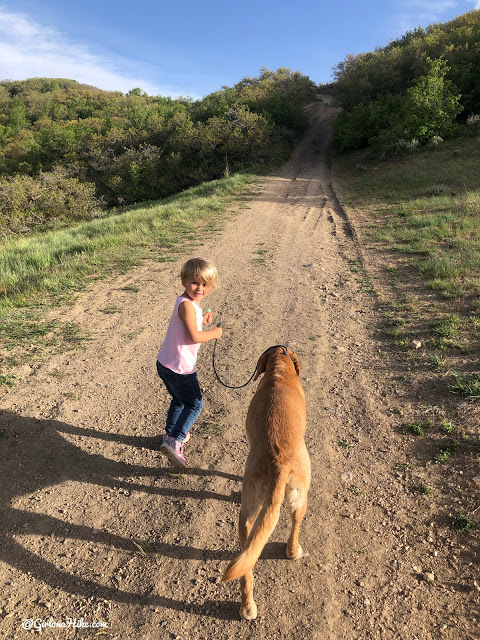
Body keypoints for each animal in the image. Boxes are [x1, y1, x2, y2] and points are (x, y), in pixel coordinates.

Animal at [222, 344, 312, 620]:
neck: (280, 367)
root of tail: (277, 461)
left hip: (249, 514)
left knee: (246, 564)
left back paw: (247, 606)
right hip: (300, 497)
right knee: (295, 528)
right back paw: (293, 552)